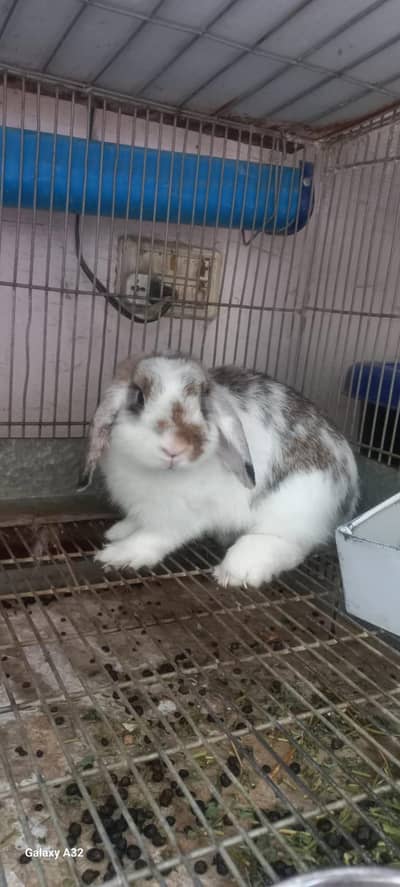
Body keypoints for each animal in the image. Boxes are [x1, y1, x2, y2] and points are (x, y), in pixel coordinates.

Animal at [78, 352, 359, 588]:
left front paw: (118, 555)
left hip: (292, 509)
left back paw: (237, 570)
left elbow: (153, 537)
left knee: (289, 544)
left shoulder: (179, 517)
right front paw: (117, 532)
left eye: (203, 406)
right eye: (139, 397)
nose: (175, 447)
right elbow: (137, 522)